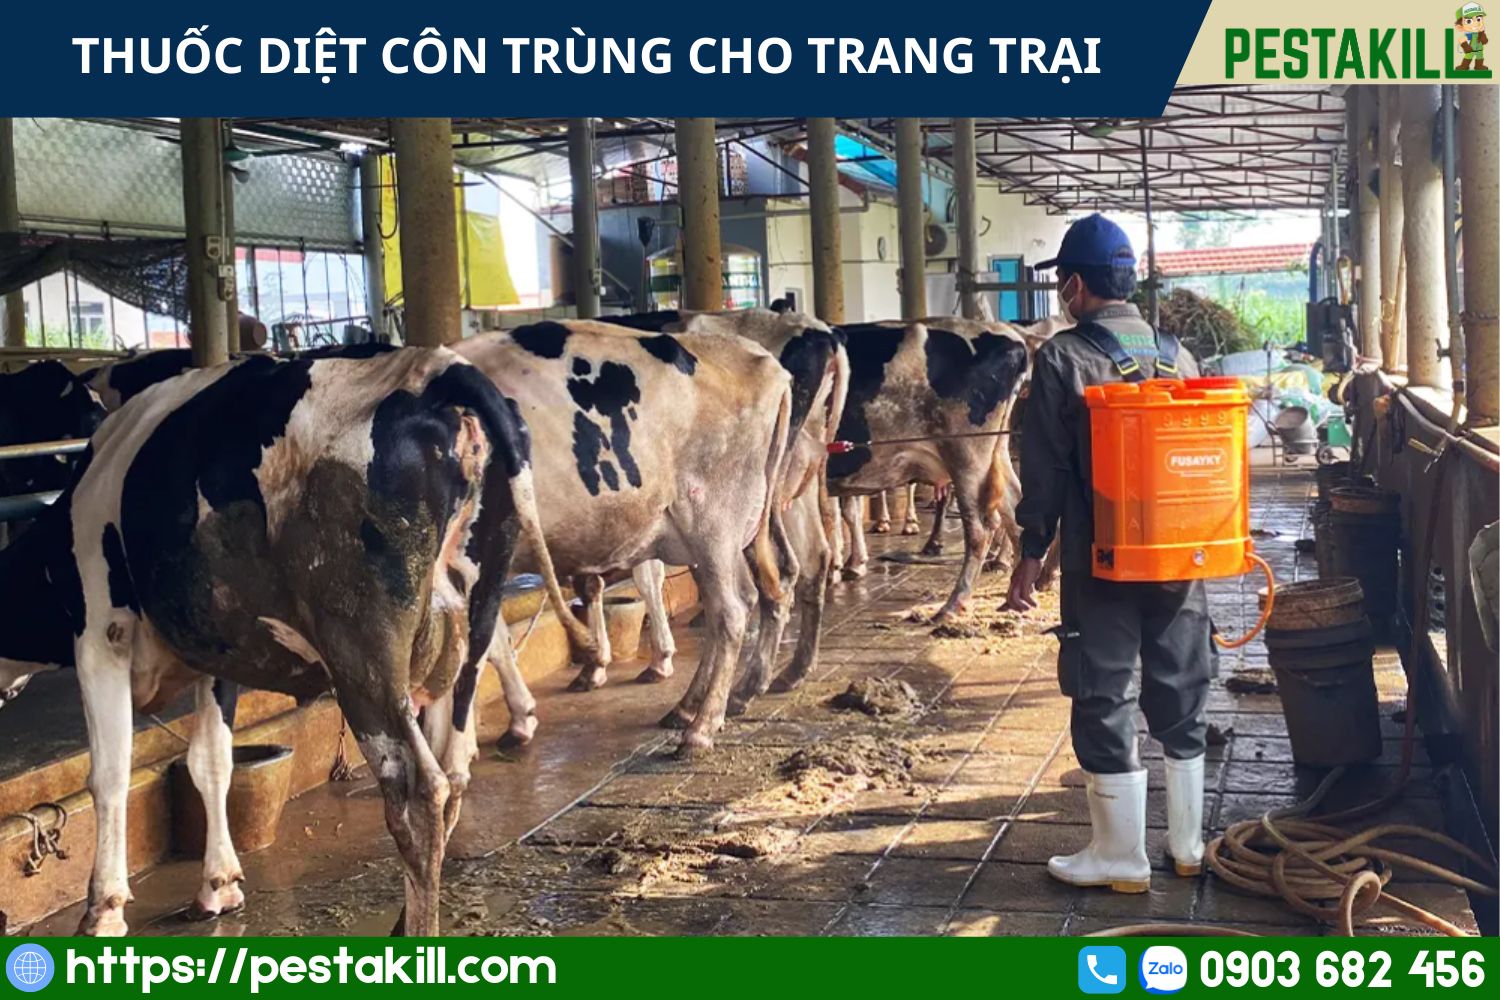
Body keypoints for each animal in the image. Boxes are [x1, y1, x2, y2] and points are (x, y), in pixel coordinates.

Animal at [0, 347, 594, 936]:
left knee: (418, 789)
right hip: (471, 623)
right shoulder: (217, 651)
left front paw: (103, 909)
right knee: (455, 766)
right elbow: (211, 761)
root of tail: (434, 369)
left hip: (362, 649)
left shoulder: (102, 634)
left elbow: (110, 775)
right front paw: (218, 885)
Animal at [449, 321, 793, 753]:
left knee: (730, 611)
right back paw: (710, 700)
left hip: (711, 523)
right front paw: (518, 719)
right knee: (761, 594)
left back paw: (701, 726)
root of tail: (765, 362)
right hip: (718, 534)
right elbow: (491, 641)